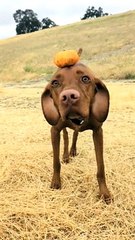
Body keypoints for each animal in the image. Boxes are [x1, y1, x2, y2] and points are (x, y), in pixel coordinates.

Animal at [41, 60, 112, 202]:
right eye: (55, 83)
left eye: (85, 79)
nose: (68, 96)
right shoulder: (54, 130)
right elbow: (56, 162)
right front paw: (55, 182)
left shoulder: (98, 132)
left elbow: (101, 166)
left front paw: (104, 193)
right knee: (66, 135)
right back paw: (66, 155)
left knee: (75, 134)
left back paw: (72, 150)